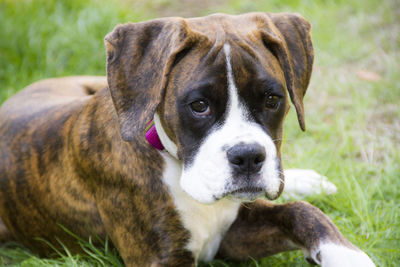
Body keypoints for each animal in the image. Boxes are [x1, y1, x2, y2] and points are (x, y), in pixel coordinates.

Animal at [0, 11, 376, 266]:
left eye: (272, 100)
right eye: (199, 106)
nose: (248, 157)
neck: (175, 164)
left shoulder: (234, 231)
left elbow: (300, 212)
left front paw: (347, 256)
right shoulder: (166, 258)